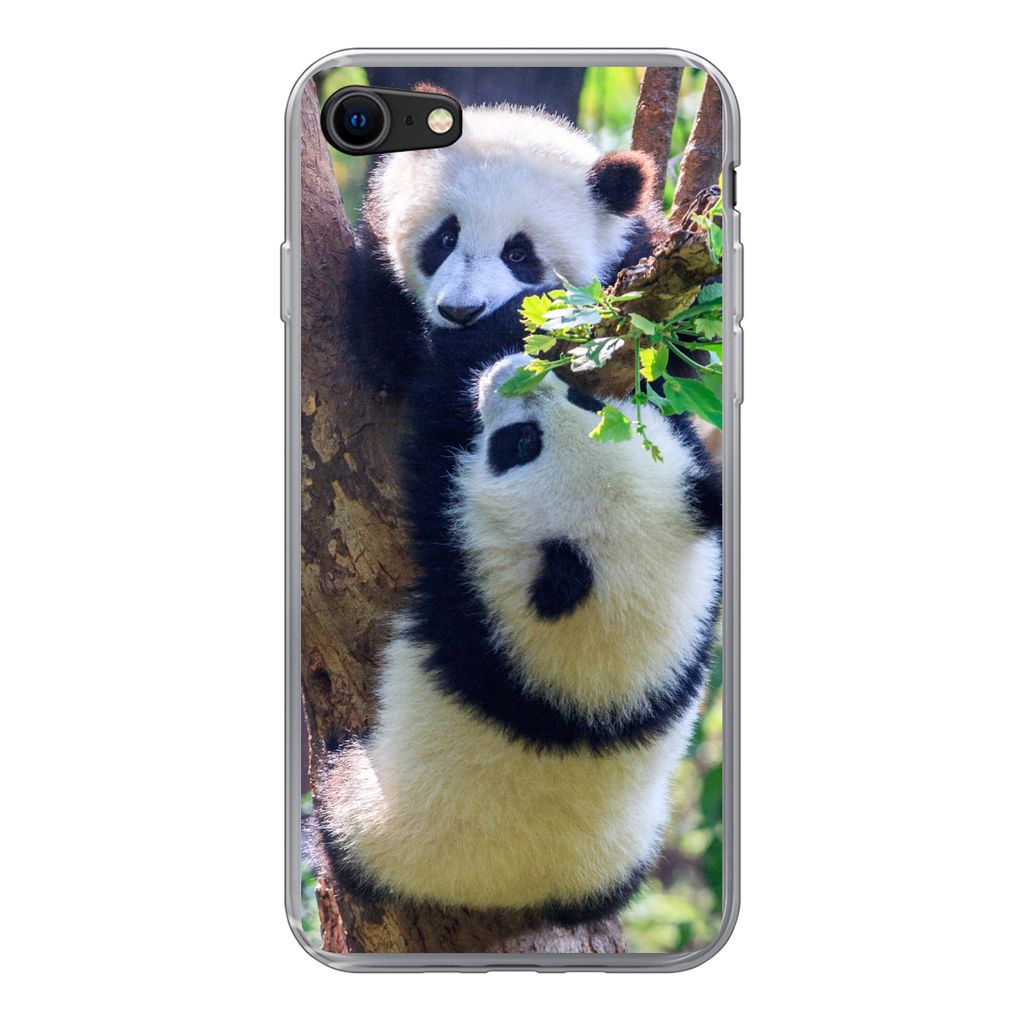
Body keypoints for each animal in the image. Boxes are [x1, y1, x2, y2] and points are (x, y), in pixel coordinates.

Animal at [316, 343, 722, 924]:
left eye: (521, 444)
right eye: (592, 402)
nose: (510, 371)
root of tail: (510, 894)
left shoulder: (470, 579)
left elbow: (429, 446)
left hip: (381, 820)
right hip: (624, 855)